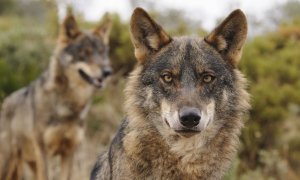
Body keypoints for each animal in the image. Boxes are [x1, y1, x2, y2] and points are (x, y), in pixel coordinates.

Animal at [0, 14, 112, 180]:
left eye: (102, 52)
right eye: (85, 52)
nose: (107, 72)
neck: (68, 106)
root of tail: (6, 101)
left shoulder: (69, 152)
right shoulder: (43, 152)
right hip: (10, 164)